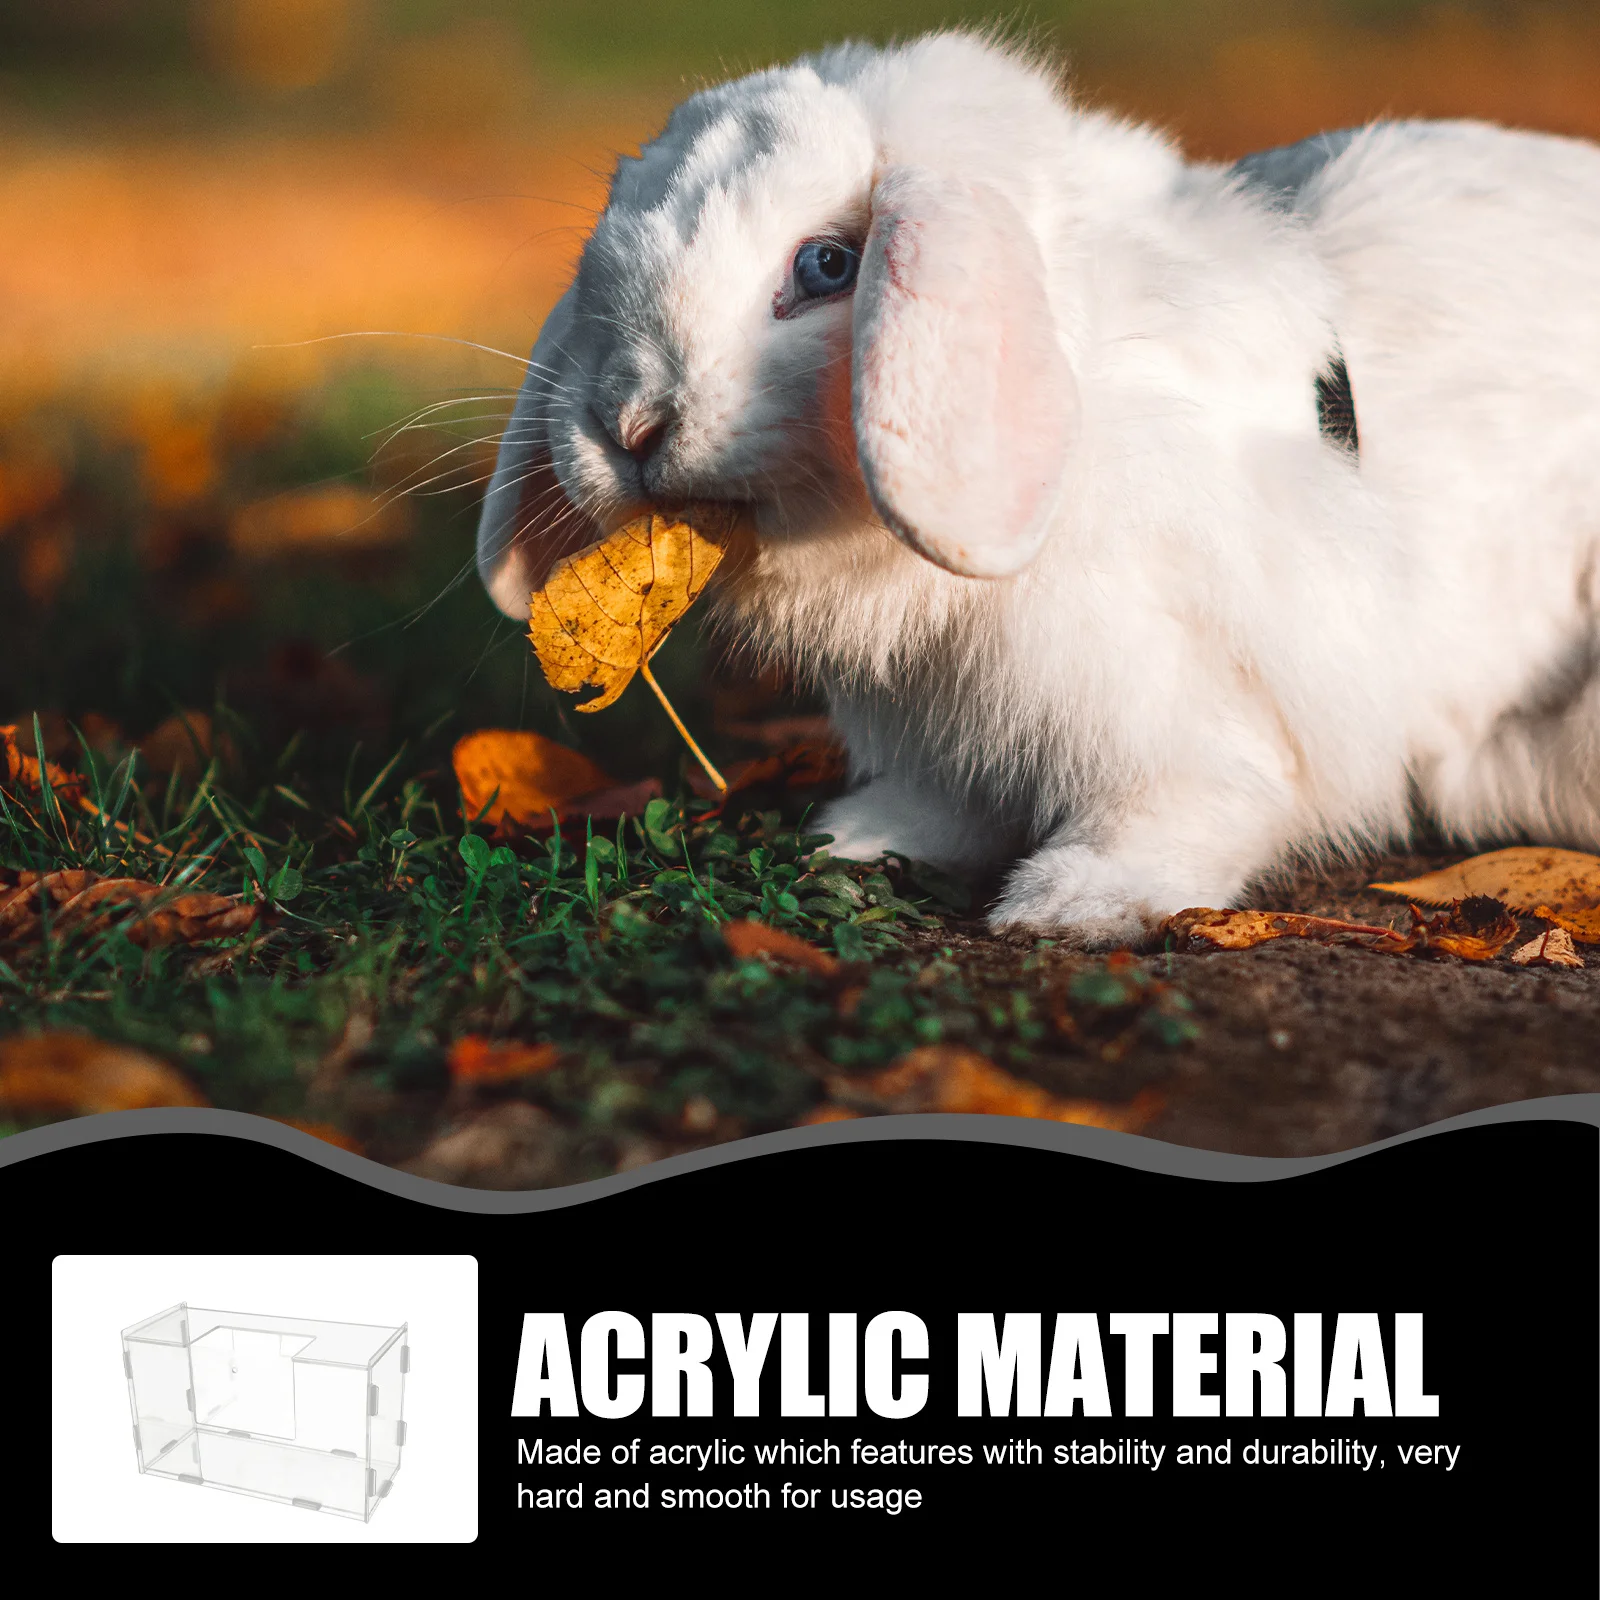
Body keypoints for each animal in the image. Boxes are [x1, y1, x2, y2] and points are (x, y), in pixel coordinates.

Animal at [476, 30, 1600, 947]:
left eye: (829, 264)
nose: (628, 427)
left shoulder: (1177, 681)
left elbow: (1189, 797)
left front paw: (1076, 904)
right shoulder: (950, 721)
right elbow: (949, 800)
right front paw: (859, 837)